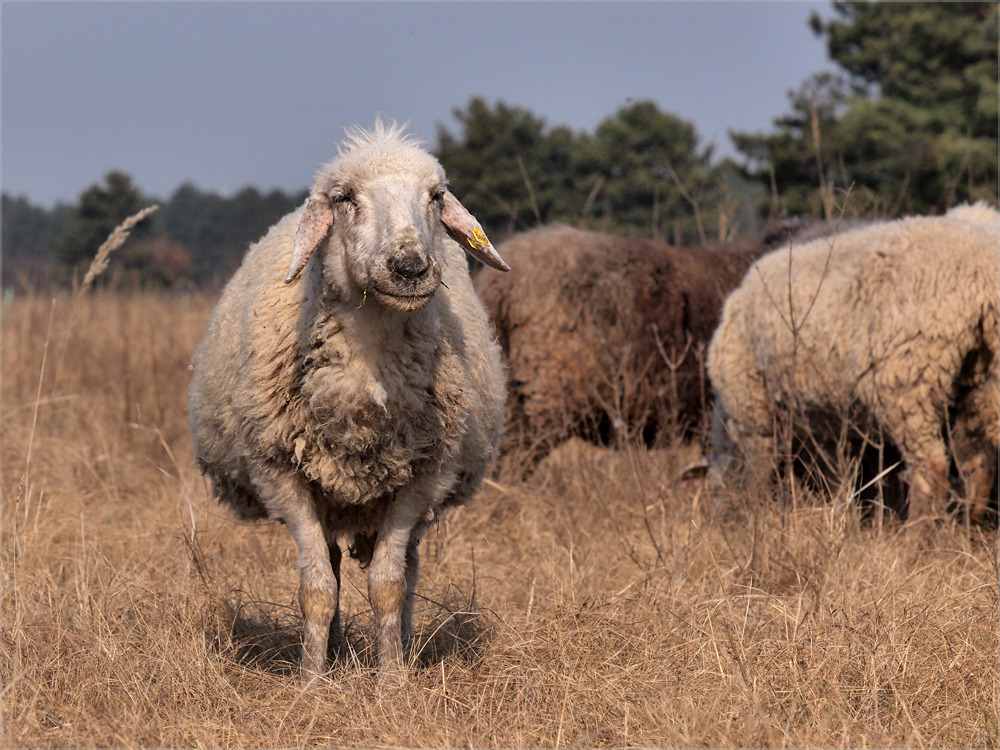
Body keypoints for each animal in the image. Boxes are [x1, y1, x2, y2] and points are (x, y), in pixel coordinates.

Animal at [188, 120, 512, 684]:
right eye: (344, 199)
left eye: (436, 196)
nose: (409, 267)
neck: (367, 367)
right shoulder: (282, 475)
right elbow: (317, 589)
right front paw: (312, 684)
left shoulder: (422, 477)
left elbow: (388, 585)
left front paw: (393, 680)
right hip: (326, 492)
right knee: (334, 567)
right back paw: (334, 654)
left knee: (408, 570)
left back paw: (403, 644)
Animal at [708, 203, 996, 524]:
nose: (719, 513)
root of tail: (982, 276)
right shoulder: (830, 422)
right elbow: (838, 474)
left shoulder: (752, 406)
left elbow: (758, 471)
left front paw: (752, 515)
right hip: (983, 382)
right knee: (979, 463)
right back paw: (969, 523)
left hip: (908, 376)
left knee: (930, 465)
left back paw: (917, 532)